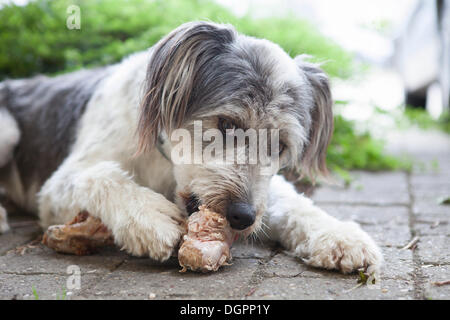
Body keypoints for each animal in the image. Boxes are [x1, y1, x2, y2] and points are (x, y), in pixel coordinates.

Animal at [0, 20, 384, 276]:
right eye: (226, 124)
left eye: (280, 146)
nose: (242, 216)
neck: (164, 164)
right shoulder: (54, 190)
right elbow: (100, 176)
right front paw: (150, 217)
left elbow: (290, 201)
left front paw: (337, 235)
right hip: (8, 129)